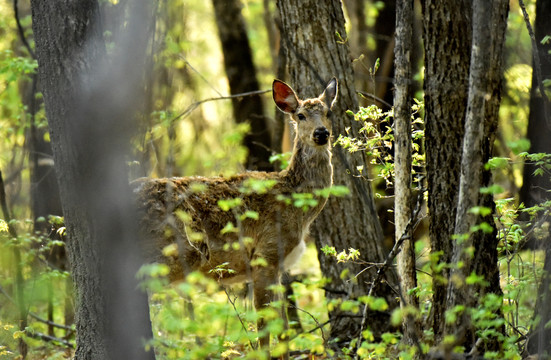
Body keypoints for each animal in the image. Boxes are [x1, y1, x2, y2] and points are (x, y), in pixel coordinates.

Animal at [133, 77, 338, 350]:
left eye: (328, 113)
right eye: (301, 115)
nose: (321, 133)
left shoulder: (279, 267)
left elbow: (283, 329)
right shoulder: (264, 255)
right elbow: (264, 328)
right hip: (169, 252)